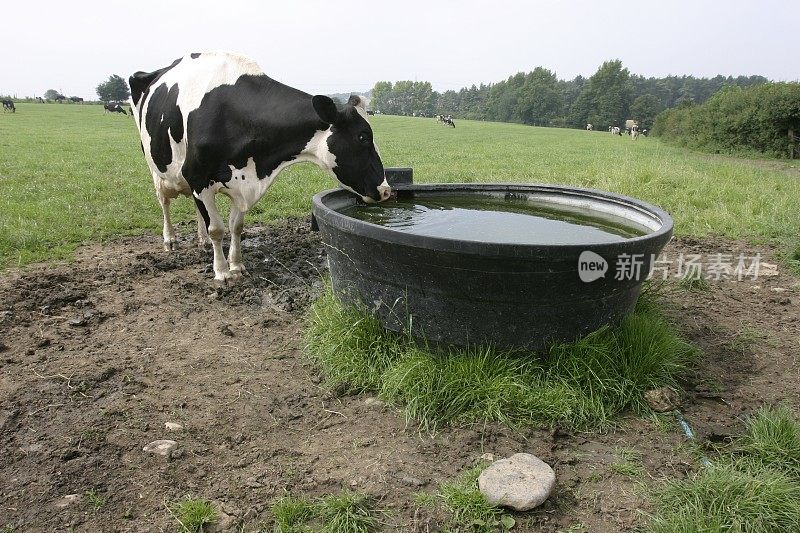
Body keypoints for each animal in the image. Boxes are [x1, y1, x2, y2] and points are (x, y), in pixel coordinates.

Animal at [129, 51, 390, 280]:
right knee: (164, 201)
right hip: (156, 167)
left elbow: (235, 226)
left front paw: (236, 266)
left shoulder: (240, 184)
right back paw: (170, 240)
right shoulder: (197, 175)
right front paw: (222, 272)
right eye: (363, 137)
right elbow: (217, 228)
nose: (387, 190)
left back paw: (201, 240)